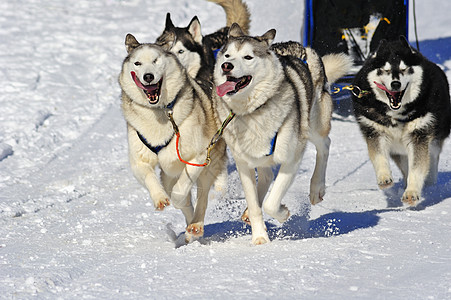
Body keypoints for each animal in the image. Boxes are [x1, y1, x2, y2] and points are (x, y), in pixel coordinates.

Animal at [119, 34, 226, 241]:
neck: (160, 111)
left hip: (209, 165)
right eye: (137, 63)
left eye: (155, 60)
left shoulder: (197, 157)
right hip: (168, 175)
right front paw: (160, 199)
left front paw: (177, 200)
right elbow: (150, 178)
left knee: (201, 196)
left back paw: (195, 225)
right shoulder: (139, 161)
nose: (148, 76)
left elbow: (181, 191)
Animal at [214, 23, 354, 244]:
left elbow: (271, 203)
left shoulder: (291, 158)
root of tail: (302, 48)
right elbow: (255, 204)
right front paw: (260, 237)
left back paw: (316, 188)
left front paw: (283, 213)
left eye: (248, 57)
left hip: (313, 126)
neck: (253, 110)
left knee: (325, 145)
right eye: (227, 55)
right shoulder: (243, 164)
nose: (226, 66)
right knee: (265, 176)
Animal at [354, 35, 451, 205]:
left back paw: (429, 183)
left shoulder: (419, 135)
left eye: (404, 69)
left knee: (431, 159)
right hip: (398, 150)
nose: (395, 83)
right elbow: (379, 157)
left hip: (433, 140)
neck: (396, 115)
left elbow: (417, 167)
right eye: (385, 70)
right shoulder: (375, 132)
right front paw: (384, 177)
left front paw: (412, 192)